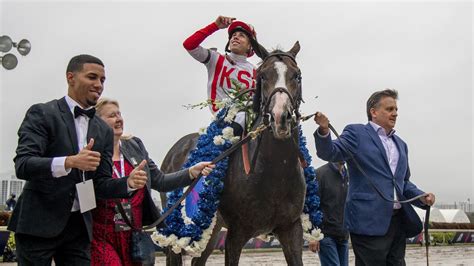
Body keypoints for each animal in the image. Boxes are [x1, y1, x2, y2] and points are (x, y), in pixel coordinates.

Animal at [161, 41, 306, 266]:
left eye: (296, 75)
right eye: (263, 76)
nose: (280, 118)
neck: (275, 171)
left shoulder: (291, 228)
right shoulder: (236, 233)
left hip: (212, 230)